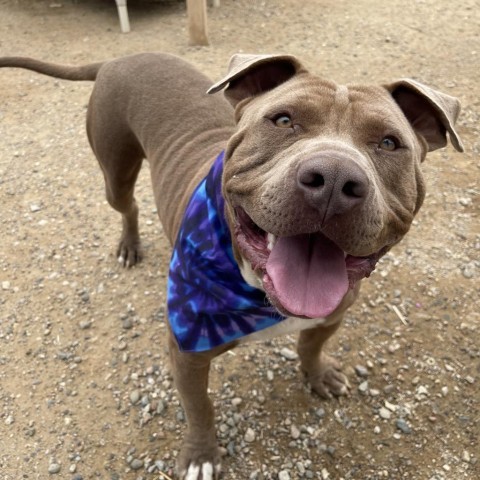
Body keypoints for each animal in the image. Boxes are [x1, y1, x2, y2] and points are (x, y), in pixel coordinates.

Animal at [0, 53, 464, 480]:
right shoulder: (187, 352)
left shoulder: (334, 312)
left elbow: (310, 345)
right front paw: (202, 455)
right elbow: (200, 407)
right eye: (283, 120)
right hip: (115, 168)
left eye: (389, 143)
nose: (334, 179)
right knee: (126, 205)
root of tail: (120, 57)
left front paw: (318, 374)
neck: (259, 296)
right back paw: (129, 245)